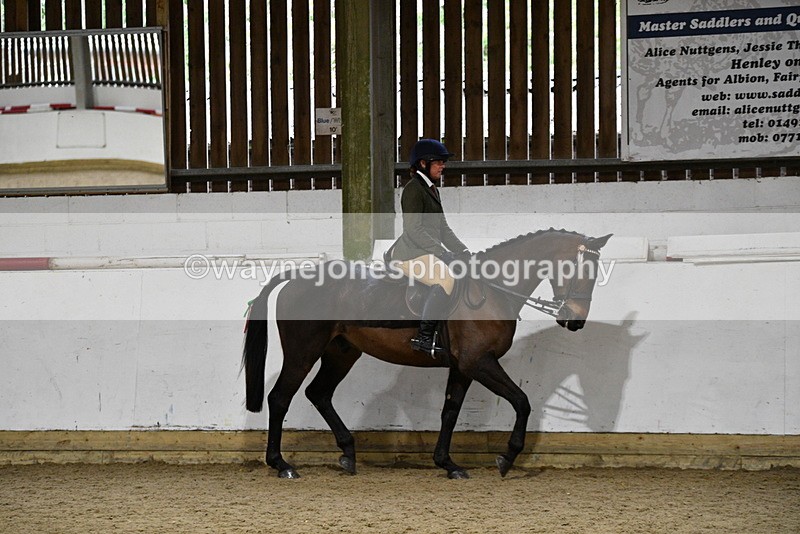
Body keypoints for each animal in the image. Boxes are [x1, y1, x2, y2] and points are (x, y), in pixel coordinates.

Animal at [242, 228, 612, 479]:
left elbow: (450, 412)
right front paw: (506, 459)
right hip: (303, 352)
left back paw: (348, 453)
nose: (575, 320)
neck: (493, 292)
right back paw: (282, 465)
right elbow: (522, 401)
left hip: (342, 353)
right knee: (280, 398)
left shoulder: (463, 367)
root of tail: (295, 277)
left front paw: (447, 464)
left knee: (318, 394)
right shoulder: (479, 362)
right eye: (577, 270)